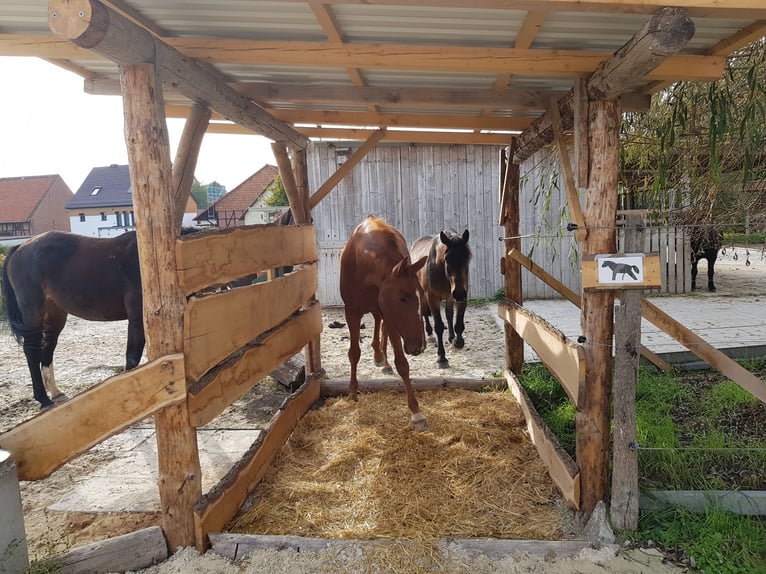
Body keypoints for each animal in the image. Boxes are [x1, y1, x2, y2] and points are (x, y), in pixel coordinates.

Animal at [1, 231, 146, 410]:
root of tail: (20, 247)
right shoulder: (137, 317)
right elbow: (133, 358)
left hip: (55, 314)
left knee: (48, 346)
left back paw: (56, 392)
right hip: (33, 313)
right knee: (32, 351)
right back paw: (44, 399)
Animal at [342, 217, 432, 432]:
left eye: (421, 296)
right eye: (403, 298)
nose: (420, 346)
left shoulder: (390, 315)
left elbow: (402, 364)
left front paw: (416, 413)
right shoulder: (351, 311)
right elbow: (354, 353)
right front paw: (353, 392)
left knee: (380, 325)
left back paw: (382, 357)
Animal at [412, 230, 472, 368]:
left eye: (467, 257)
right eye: (447, 259)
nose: (459, 293)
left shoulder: (460, 297)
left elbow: (458, 322)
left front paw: (457, 341)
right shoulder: (432, 298)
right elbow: (439, 326)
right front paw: (441, 357)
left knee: (449, 314)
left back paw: (451, 337)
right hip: (423, 296)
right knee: (424, 312)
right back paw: (429, 335)